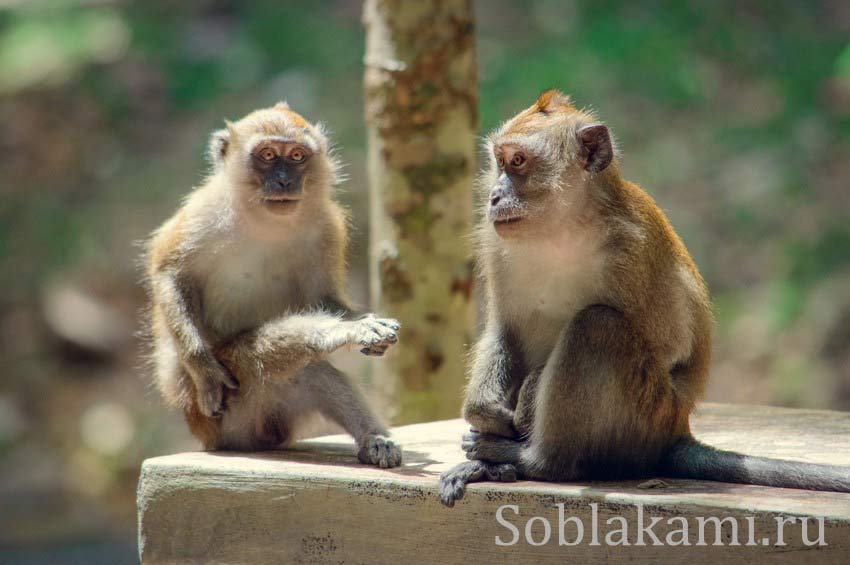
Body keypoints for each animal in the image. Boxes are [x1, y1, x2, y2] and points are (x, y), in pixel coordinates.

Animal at [146, 101, 404, 468]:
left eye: (296, 156)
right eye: (267, 155)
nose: (284, 181)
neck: (263, 221)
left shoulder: (327, 228)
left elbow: (324, 300)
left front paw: (362, 322)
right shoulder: (202, 212)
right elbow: (169, 273)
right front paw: (203, 369)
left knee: (312, 374)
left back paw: (374, 439)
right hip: (224, 417)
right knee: (267, 357)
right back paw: (340, 335)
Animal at [438, 90, 848, 504]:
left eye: (518, 161)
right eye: (499, 162)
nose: (494, 196)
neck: (561, 230)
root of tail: (676, 427)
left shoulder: (635, 249)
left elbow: (672, 347)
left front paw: (524, 405)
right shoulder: (496, 247)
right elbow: (504, 330)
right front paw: (484, 411)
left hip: (647, 413)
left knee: (597, 325)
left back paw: (538, 460)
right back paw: (488, 463)